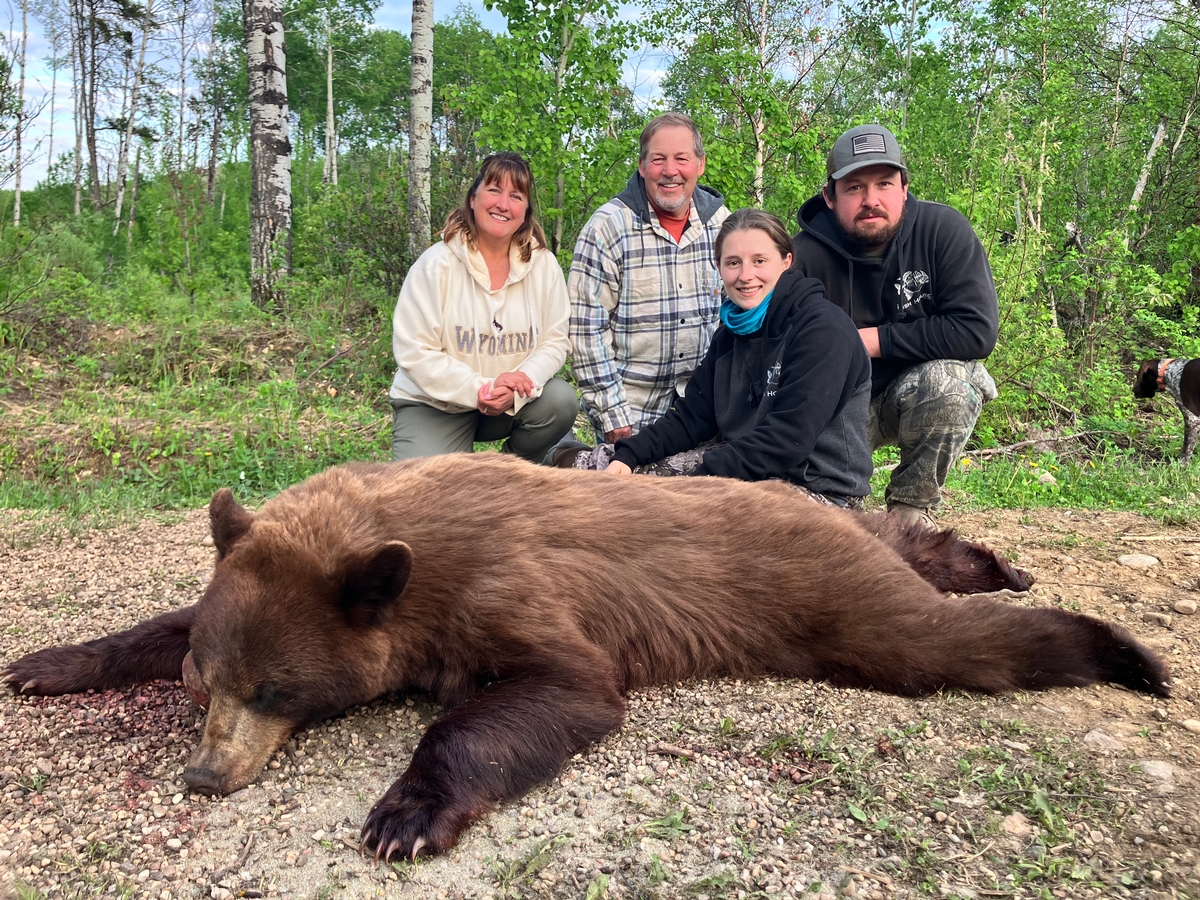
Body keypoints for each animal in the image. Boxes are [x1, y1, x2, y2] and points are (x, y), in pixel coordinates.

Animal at [3, 454, 1169, 863]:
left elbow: (558, 692)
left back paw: (1122, 651)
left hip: (822, 595)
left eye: (276, 688)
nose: (206, 775)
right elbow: (154, 620)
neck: (404, 546)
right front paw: (44, 662)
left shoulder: (506, 590)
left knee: (937, 640)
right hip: (831, 538)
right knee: (899, 540)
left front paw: (404, 815)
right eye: (206, 681)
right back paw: (989, 560)